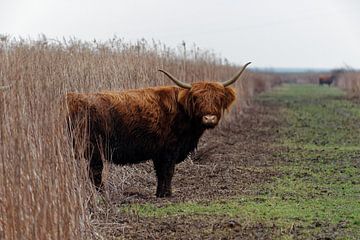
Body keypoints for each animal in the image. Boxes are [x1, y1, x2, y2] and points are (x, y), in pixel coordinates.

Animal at [67, 61, 250, 197]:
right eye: (196, 99)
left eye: (218, 98)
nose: (209, 118)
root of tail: (71, 98)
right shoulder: (169, 149)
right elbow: (168, 171)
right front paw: (167, 194)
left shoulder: (159, 152)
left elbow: (160, 173)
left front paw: (159, 193)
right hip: (93, 150)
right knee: (96, 175)